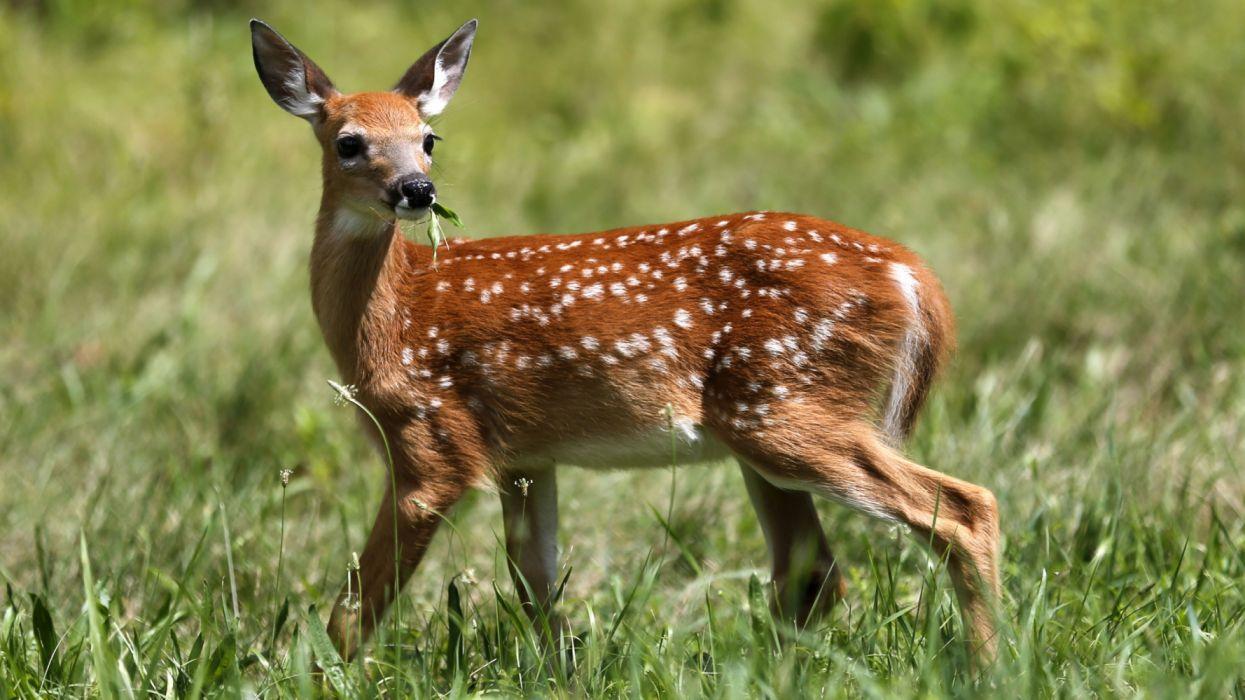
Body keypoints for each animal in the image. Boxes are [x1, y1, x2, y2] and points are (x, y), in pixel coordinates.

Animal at [250, 18, 1002, 664]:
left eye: (428, 138)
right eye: (348, 142)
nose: (417, 189)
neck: (396, 312)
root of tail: (910, 272)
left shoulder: (431, 442)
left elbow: (353, 612)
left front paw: (314, 677)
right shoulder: (524, 456)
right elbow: (535, 584)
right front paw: (563, 673)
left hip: (783, 403)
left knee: (962, 509)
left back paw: (985, 668)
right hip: (767, 425)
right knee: (812, 572)